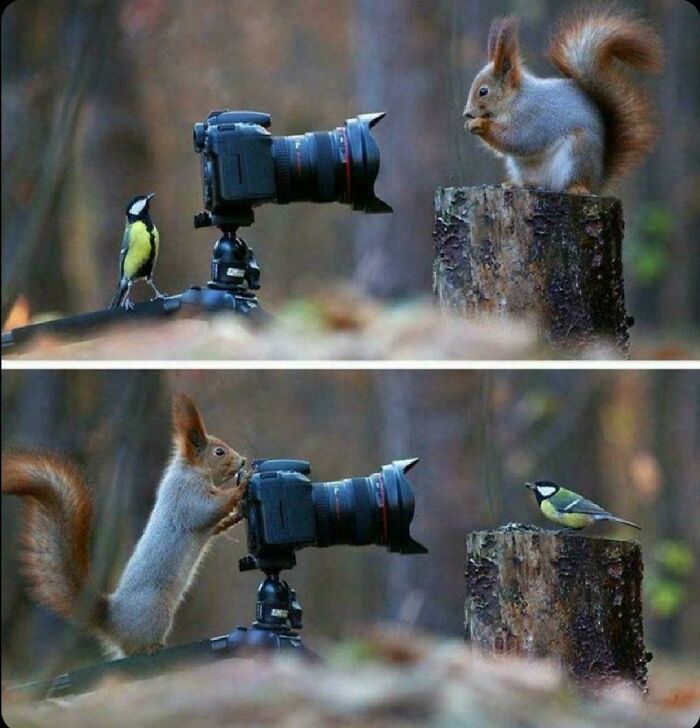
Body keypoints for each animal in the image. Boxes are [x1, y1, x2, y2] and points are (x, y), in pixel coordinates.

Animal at [1, 396, 249, 656]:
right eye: (219, 452)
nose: (243, 460)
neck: (191, 470)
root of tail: (114, 622)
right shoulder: (185, 496)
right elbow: (206, 510)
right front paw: (240, 488)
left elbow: (214, 525)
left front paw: (236, 515)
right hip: (157, 612)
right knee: (135, 647)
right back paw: (151, 647)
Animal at [464, 7, 660, 193]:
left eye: (483, 91)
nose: (467, 114)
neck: (515, 100)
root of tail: (597, 181)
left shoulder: (533, 117)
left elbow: (520, 139)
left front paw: (480, 124)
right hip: (523, 167)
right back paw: (519, 184)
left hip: (577, 153)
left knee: (573, 180)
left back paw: (576, 187)